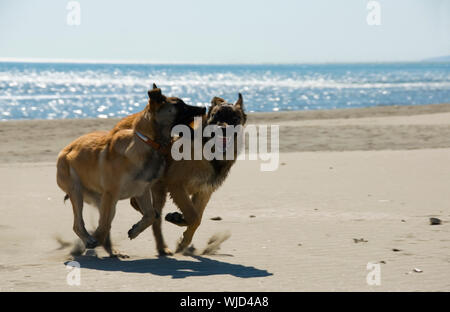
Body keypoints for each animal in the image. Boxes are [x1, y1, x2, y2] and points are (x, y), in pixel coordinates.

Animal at [54, 84, 206, 256]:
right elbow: (104, 225)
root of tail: (65, 150)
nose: (204, 108)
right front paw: (95, 239)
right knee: (79, 224)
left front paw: (135, 230)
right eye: (181, 105)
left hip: (101, 200)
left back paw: (113, 251)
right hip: (78, 191)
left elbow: (151, 215)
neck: (148, 143)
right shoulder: (111, 194)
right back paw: (92, 241)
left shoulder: (141, 191)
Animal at [112, 94, 246, 255]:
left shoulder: (204, 191)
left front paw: (182, 233)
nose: (223, 130)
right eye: (215, 116)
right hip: (158, 189)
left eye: (234, 118)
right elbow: (194, 217)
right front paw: (181, 226)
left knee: (142, 206)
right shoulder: (176, 185)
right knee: (152, 215)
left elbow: (196, 217)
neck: (207, 149)